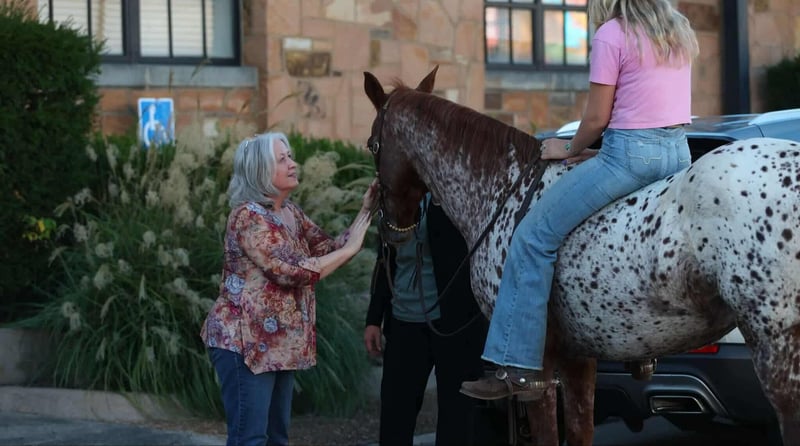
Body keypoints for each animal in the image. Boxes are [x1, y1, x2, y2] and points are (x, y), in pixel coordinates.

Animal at [362, 66, 800, 446]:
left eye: (371, 144)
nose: (392, 231)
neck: (502, 190)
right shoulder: (579, 357)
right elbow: (578, 430)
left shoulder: (534, 370)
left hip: (776, 343)